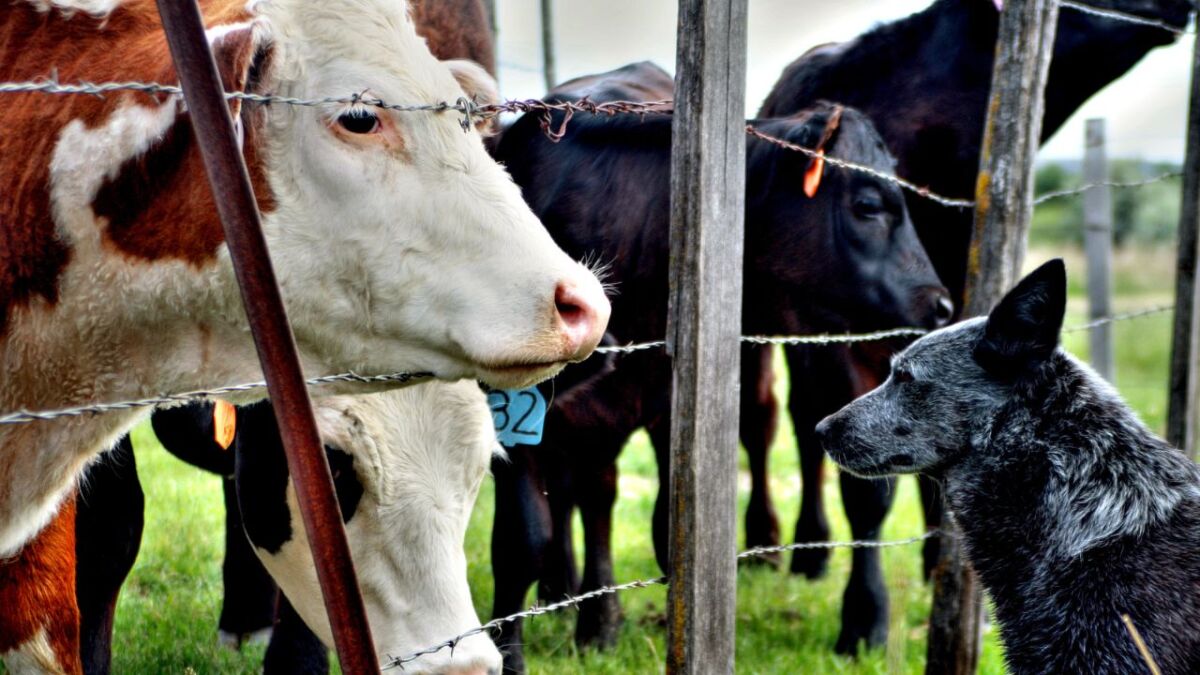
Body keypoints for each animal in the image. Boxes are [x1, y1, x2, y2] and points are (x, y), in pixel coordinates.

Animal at [492, 60, 950, 667]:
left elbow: (669, 533)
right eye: (868, 205)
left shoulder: (666, 403)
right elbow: (522, 540)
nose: (940, 304)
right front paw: (509, 654)